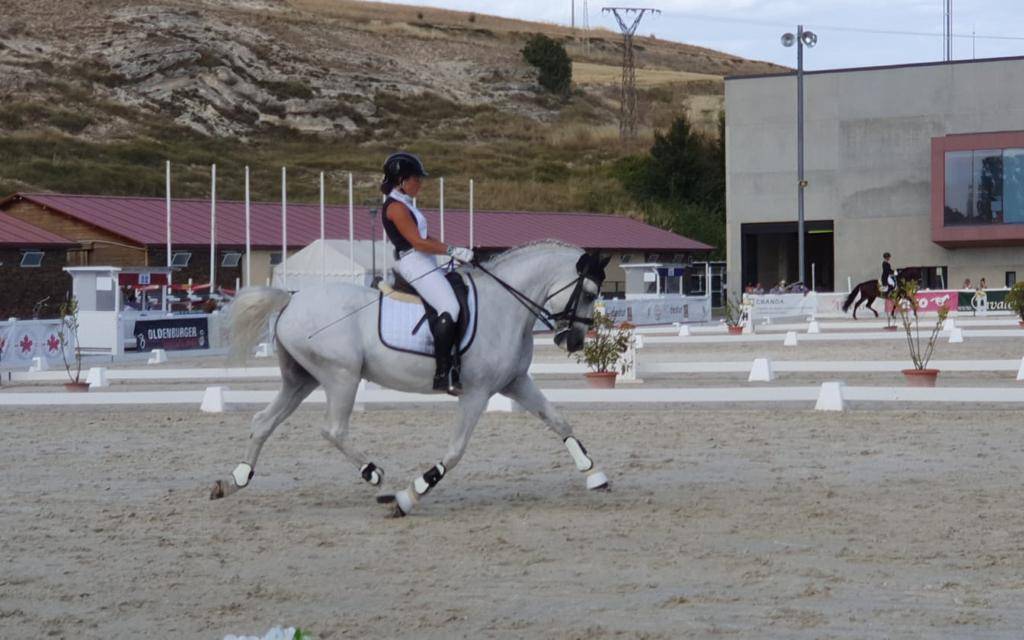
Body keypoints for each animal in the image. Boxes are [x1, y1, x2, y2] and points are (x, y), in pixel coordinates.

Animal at [209, 241, 612, 516]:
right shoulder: (477, 392)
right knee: (333, 429)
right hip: (341, 376)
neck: (506, 306)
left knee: (263, 421)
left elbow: (558, 420)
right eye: (590, 293)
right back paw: (375, 475)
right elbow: (455, 451)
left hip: (301, 379)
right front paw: (409, 495)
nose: (573, 341)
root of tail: (291, 298)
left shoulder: (514, 382)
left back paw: (234, 481)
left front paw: (594, 475)